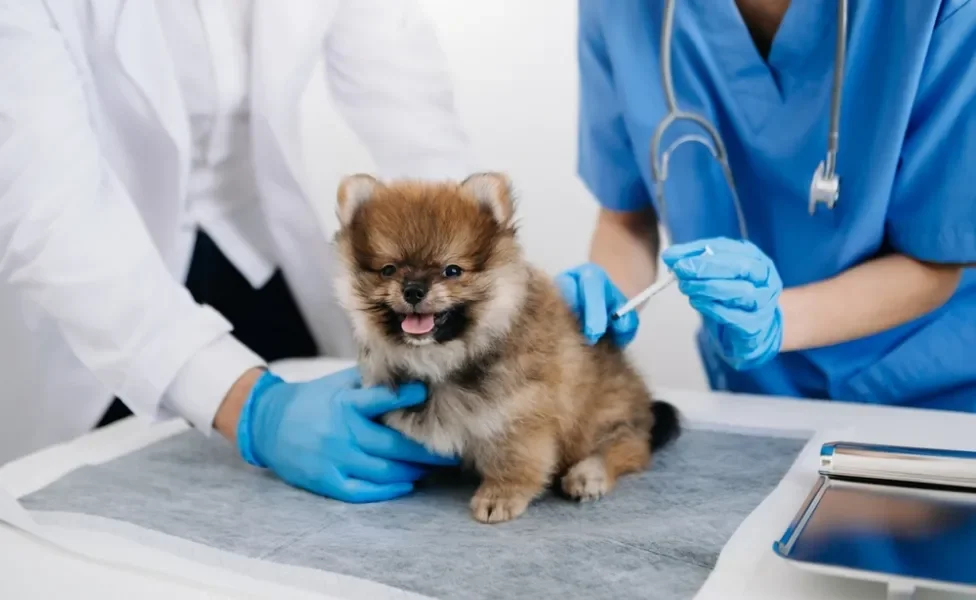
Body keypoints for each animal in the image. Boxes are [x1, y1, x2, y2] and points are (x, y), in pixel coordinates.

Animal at [332, 171, 676, 524]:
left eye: (452, 271)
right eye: (388, 270)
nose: (413, 290)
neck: (442, 359)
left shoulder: (521, 413)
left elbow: (514, 460)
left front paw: (500, 496)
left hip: (604, 416)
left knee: (627, 445)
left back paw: (588, 474)